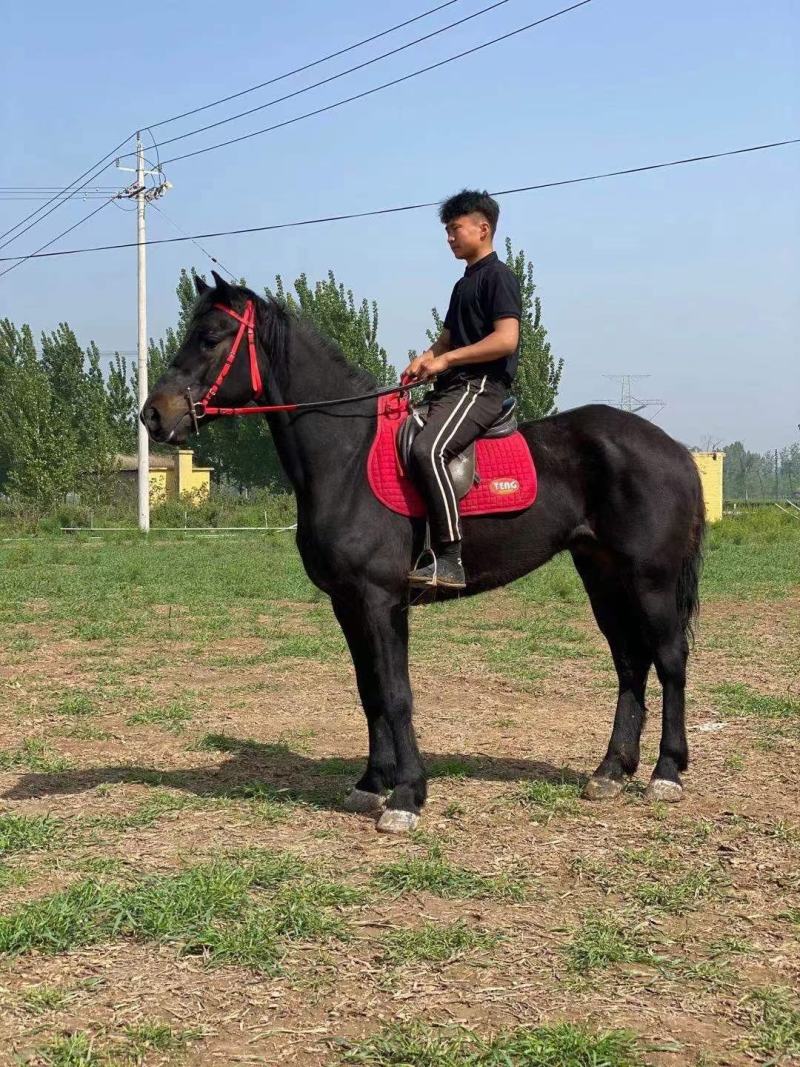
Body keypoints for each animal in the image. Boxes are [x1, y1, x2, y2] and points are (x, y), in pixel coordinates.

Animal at [142, 272, 705, 834]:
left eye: (210, 338)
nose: (153, 415)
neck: (347, 459)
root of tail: (676, 450)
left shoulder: (381, 599)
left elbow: (396, 694)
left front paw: (407, 795)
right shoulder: (347, 603)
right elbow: (369, 691)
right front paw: (372, 783)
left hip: (650, 580)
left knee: (669, 659)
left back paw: (666, 774)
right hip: (602, 576)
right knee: (630, 662)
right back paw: (611, 771)